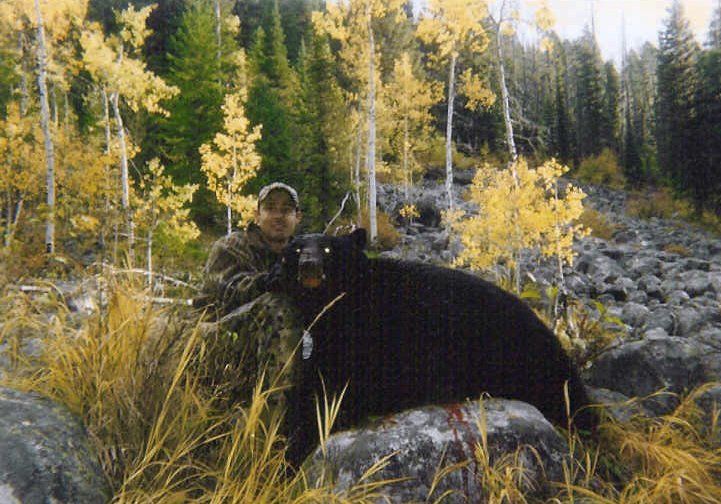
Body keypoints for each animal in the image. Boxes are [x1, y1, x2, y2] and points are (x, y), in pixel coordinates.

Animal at [270, 229, 596, 466]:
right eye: (296, 249)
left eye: (328, 249)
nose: (308, 265)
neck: (350, 300)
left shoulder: (378, 342)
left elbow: (334, 393)